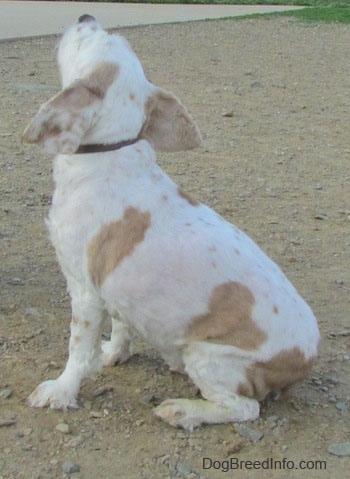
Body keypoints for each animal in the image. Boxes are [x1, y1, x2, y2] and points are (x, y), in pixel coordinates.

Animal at [22, 15, 320, 430]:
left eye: (88, 40)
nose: (85, 18)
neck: (107, 154)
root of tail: (307, 359)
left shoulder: (84, 291)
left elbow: (77, 350)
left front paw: (62, 390)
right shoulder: (116, 287)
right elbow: (121, 327)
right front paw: (113, 353)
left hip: (207, 357)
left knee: (244, 408)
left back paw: (183, 410)